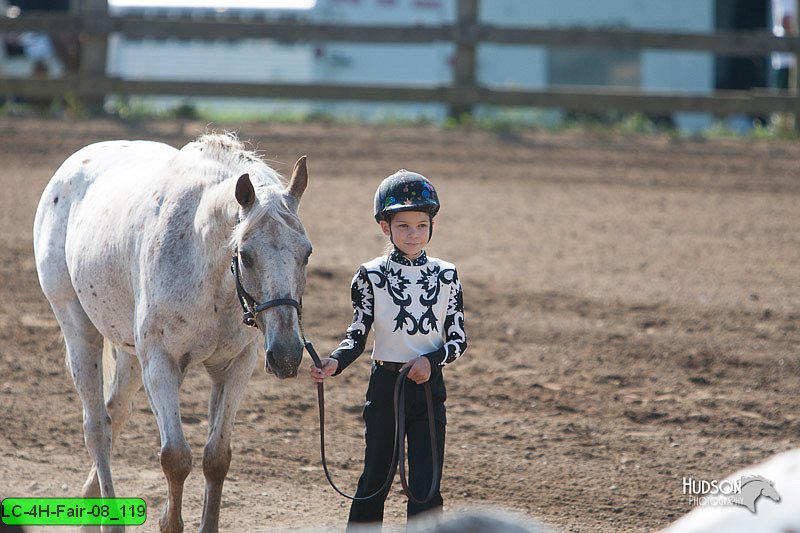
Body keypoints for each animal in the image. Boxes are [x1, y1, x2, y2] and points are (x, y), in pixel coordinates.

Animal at [32, 131, 312, 528]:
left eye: (307, 253)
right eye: (245, 255)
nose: (287, 356)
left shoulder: (235, 367)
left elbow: (216, 458)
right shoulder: (161, 364)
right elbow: (175, 459)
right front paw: (169, 522)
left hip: (131, 355)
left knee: (115, 414)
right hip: (79, 331)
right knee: (97, 428)